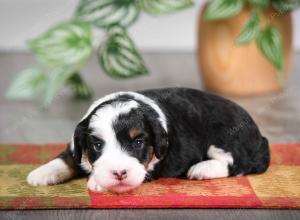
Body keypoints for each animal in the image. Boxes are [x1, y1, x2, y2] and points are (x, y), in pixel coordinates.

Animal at [27, 87, 270, 192]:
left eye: (138, 143)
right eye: (97, 145)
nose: (119, 173)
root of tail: (261, 137)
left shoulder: (153, 164)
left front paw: (98, 181)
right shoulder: (76, 145)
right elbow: (66, 158)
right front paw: (41, 173)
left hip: (225, 136)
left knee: (236, 162)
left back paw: (202, 169)